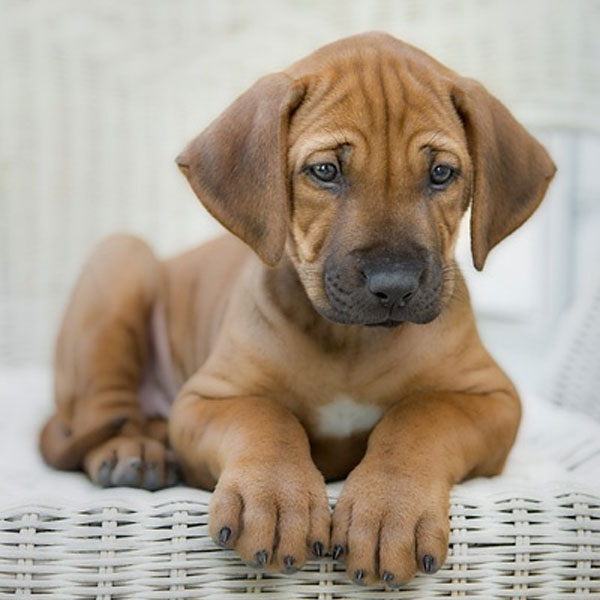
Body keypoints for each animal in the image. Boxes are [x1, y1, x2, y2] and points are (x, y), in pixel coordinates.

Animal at [39, 31, 556, 584]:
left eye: (441, 173)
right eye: (325, 171)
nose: (393, 286)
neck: (351, 341)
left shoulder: (494, 399)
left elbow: (420, 416)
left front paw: (388, 509)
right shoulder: (206, 398)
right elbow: (265, 417)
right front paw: (275, 497)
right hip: (122, 258)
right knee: (105, 413)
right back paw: (129, 451)